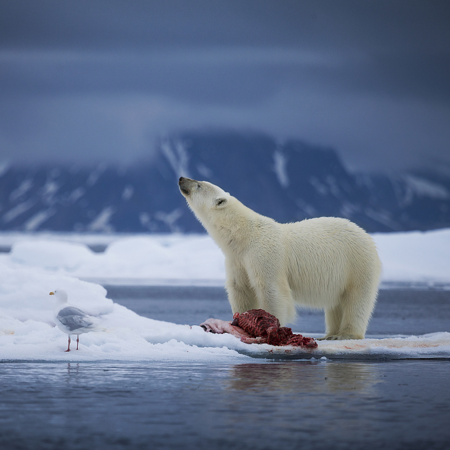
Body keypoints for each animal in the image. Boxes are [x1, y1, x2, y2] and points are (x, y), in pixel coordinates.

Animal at [178, 178, 382, 340]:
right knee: (336, 304)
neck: (243, 235)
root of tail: (366, 235)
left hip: (356, 263)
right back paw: (329, 334)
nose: (181, 178)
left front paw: (271, 327)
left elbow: (271, 289)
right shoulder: (237, 259)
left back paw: (345, 334)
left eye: (199, 184)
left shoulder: (264, 254)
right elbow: (240, 288)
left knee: (356, 299)